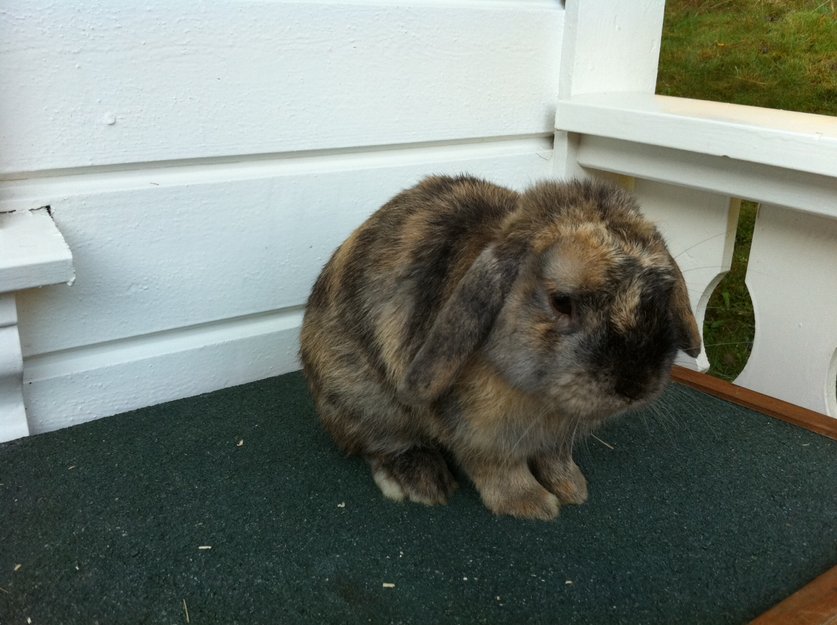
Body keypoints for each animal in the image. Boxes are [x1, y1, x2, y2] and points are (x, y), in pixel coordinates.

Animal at [300, 175, 701, 520]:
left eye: (660, 293)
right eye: (561, 301)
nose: (636, 385)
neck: (541, 398)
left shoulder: (556, 438)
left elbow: (556, 459)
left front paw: (573, 488)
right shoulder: (480, 436)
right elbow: (499, 470)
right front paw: (533, 505)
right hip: (363, 397)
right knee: (378, 442)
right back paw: (421, 481)